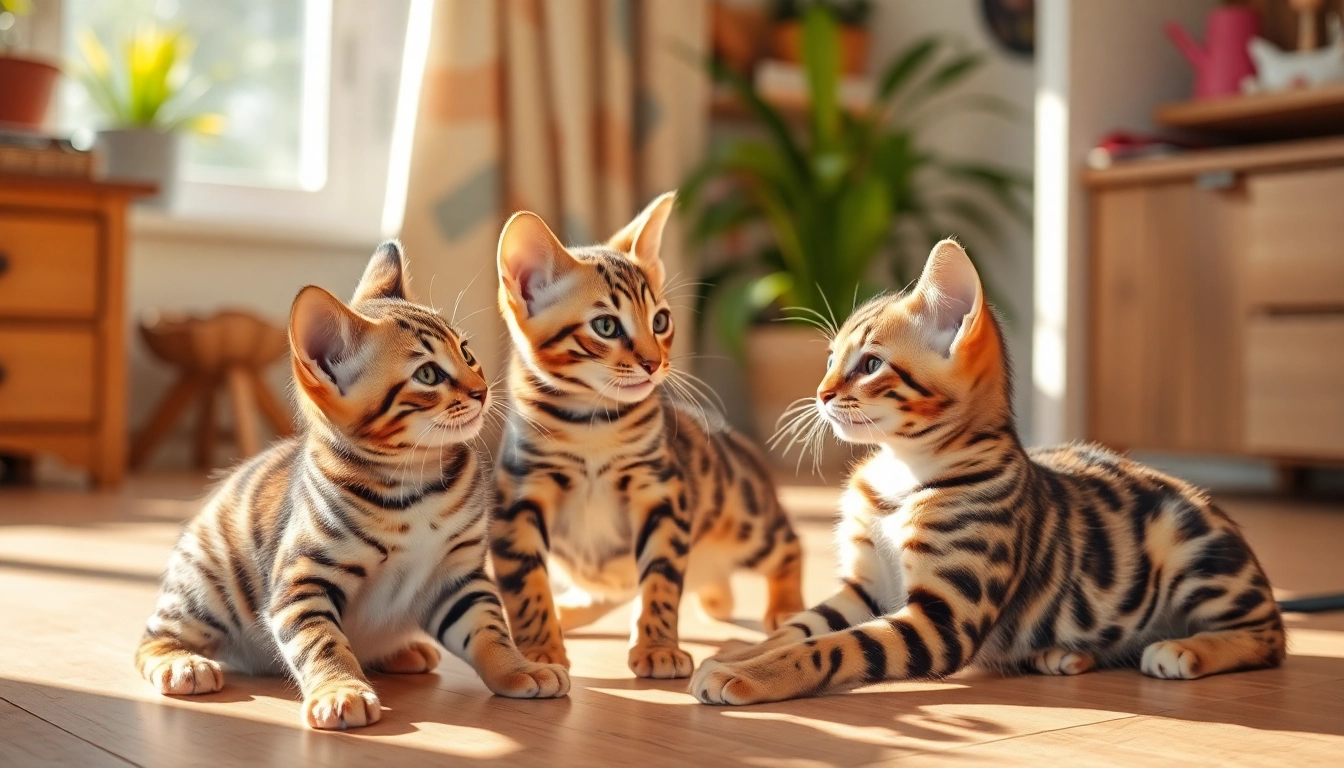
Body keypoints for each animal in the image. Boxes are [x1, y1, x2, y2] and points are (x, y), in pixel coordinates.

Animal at [139, 243, 569, 731]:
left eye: (466, 352)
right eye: (428, 375)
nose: (481, 390)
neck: (416, 484)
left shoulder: (459, 576)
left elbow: (490, 630)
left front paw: (520, 668)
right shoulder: (302, 583)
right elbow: (322, 643)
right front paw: (340, 690)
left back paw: (404, 651)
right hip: (205, 589)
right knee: (151, 638)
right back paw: (182, 664)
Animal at [494, 195, 806, 683]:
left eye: (660, 321)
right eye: (605, 326)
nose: (653, 362)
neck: (591, 426)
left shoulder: (662, 493)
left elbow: (660, 579)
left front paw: (658, 648)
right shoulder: (517, 501)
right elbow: (525, 586)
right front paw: (539, 651)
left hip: (746, 517)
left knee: (790, 544)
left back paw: (786, 607)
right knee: (608, 590)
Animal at [688, 239, 1284, 704]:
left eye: (871, 364)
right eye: (831, 359)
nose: (820, 393)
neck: (900, 475)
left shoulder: (942, 619)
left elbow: (832, 647)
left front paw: (746, 675)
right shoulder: (865, 587)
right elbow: (797, 627)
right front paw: (735, 654)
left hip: (1191, 551)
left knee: (1271, 637)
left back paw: (1184, 648)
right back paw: (1062, 655)